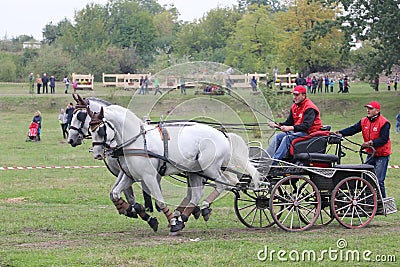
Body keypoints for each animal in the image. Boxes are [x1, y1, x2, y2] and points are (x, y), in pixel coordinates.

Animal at [68, 94, 159, 232]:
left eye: (81, 115)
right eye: (72, 113)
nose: (71, 139)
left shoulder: (126, 170)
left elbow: (128, 196)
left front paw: (135, 211)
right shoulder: (122, 172)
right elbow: (116, 193)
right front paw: (131, 210)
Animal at [89, 104, 260, 234]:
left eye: (101, 130)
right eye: (91, 130)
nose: (97, 154)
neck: (137, 142)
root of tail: (223, 135)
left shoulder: (150, 177)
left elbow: (160, 201)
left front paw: (170, 221)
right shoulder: (129, 176)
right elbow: (114, 194)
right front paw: (129, 210)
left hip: (210, 168)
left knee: (222, 184)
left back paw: (201, 209)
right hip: (195, 171)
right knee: (197, 194)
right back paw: (184, 217)